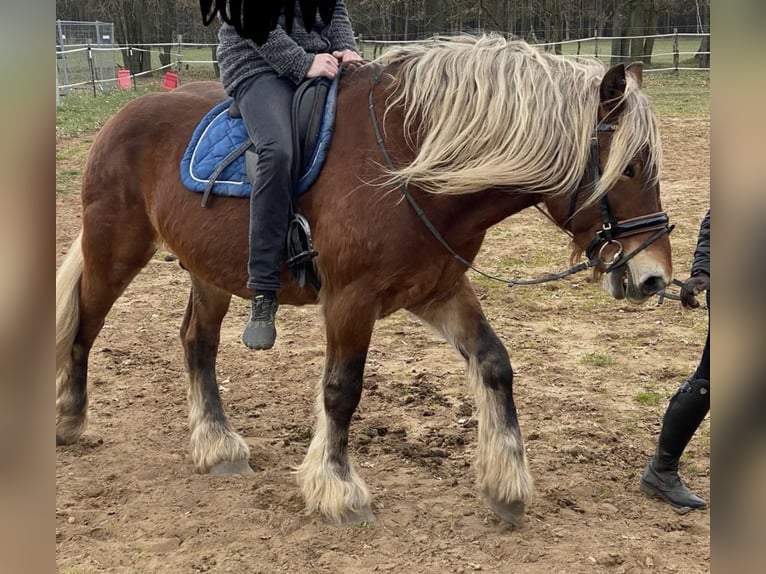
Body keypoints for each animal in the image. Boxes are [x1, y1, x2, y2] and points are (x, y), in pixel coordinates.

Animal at [57, 36, 676, 528]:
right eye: (628, 168)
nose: (653, 278)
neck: (410, 167)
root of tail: (123, 116)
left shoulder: (437, 289)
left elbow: (495, 364)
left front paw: (506, 485)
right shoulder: (349, 300)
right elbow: (342, 390)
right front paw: (337, 489)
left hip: (211, 270)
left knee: (197, 343)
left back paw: (216, 445)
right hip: (115, 250)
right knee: (85, 323)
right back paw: (69, 416)